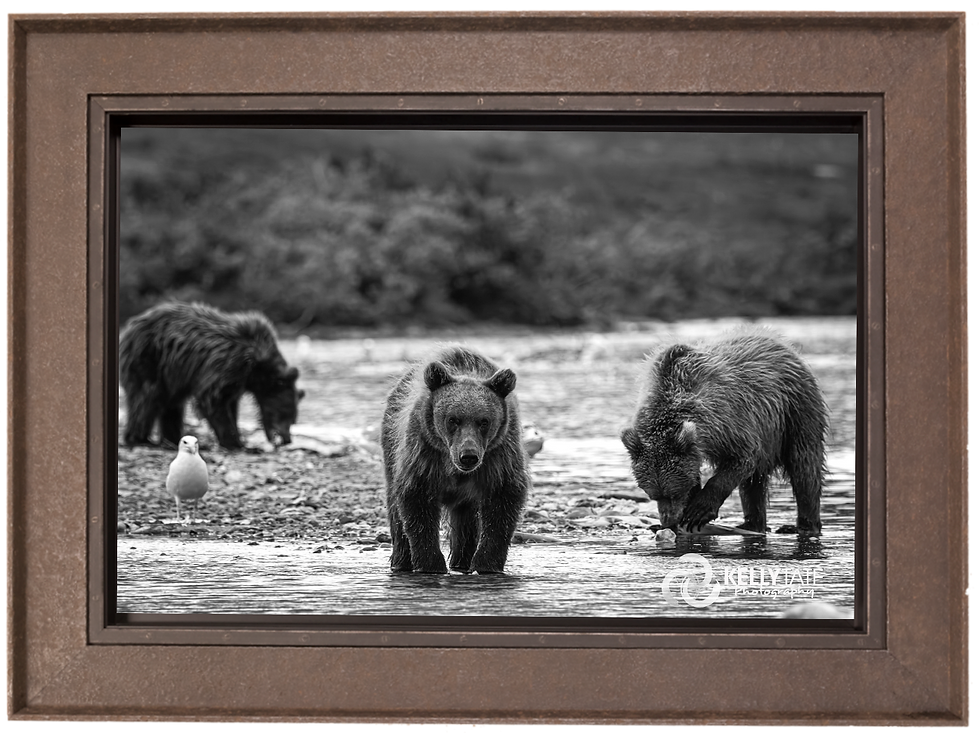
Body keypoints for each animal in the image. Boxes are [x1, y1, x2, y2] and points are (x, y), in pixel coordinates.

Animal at [119, 301, 304, 450]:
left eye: (293, 419)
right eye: (286, 413)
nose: (287, 439)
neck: (257, 369)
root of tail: (128, 328)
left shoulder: (237, 381)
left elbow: (230, 404)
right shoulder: (227, 364)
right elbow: (213, 399)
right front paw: (237, 443)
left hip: (172, 375)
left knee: (172, 405)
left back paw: (172, 440)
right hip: (150, 361)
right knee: (147, 398)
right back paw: (141, 439)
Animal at [381, 345, 530, 574]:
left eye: (484, 421)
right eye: (453, 419)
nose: (468, 456)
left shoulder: (499, 455)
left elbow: (502, 503)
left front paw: (487, 564)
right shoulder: (424, 454)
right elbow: (417, 503)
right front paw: (430, 564)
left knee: (466, 522)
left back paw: (462, 562)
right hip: (392, 448)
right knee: (396, 511)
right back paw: (401, 561)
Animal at [621, 330, 828, 536]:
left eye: (674, 493)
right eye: (652, 495)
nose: (668, 521)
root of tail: (784, 346)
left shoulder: (726, 421)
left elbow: (744, 457)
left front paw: (698, 511)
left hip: (795, 411)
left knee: (804, 467)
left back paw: (804, 526)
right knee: (753, 485)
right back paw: (751, 524)